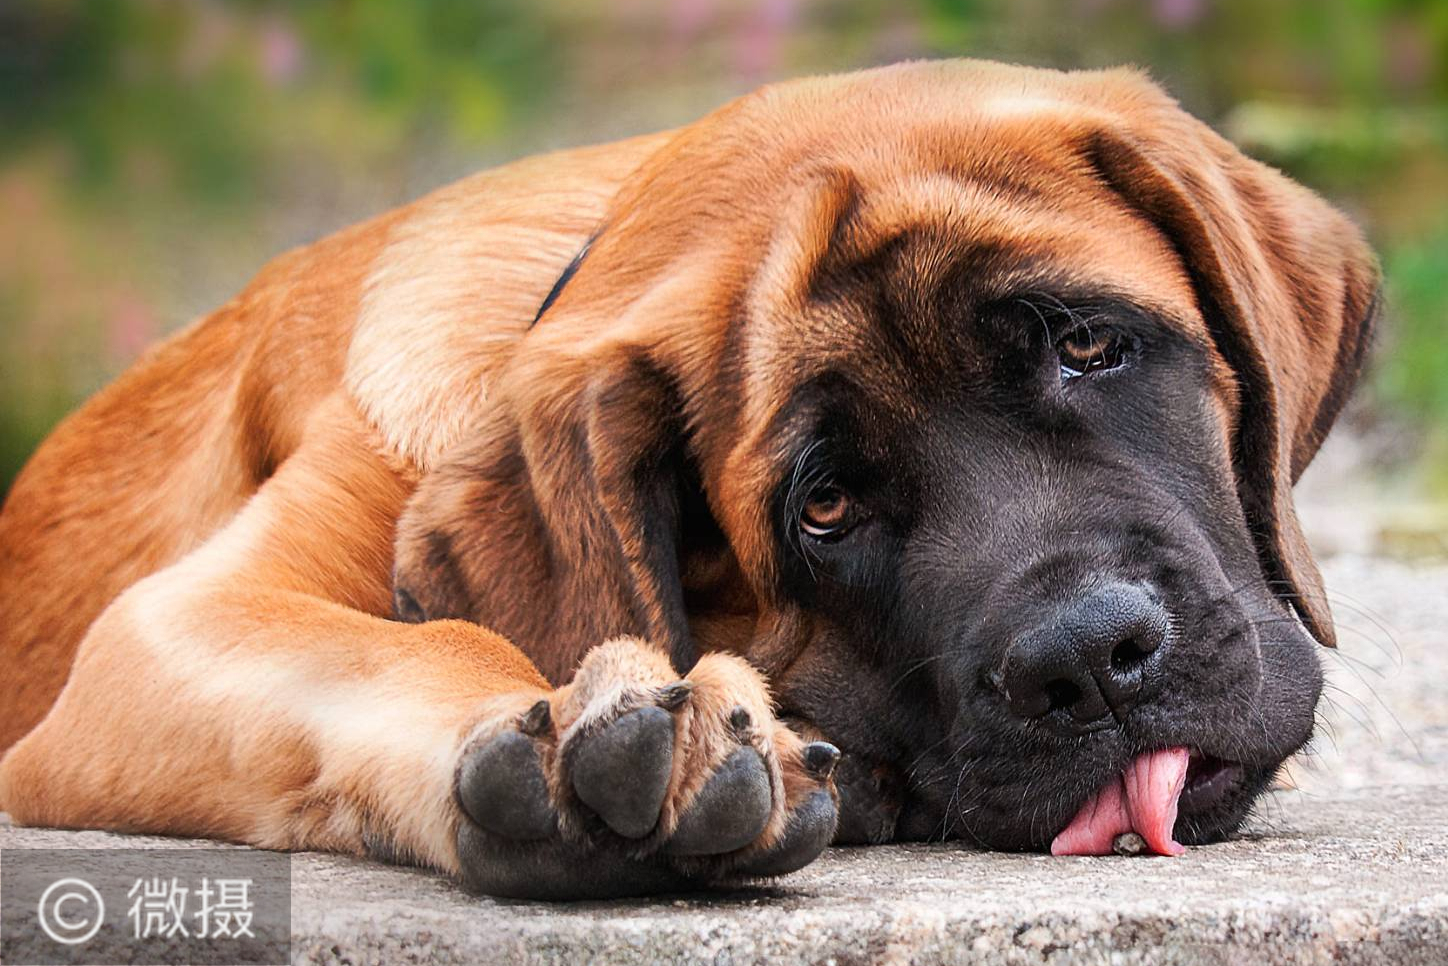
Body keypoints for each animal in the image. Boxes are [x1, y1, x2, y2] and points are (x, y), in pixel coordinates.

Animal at [0, 60, 1377, 899]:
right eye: (823, 505)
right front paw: (573, 738)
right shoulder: (162, 630)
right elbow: (418, 643)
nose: (1087, 661)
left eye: (1087, 346)